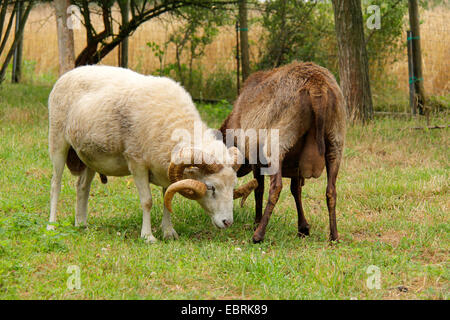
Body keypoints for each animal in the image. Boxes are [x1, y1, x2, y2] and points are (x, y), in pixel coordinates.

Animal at [48, 67, 256, 242]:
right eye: (211, 187)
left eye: (233, 186)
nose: (227, 222)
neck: (173, 122)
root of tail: (69, 73)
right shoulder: (137, 163)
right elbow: (147, 202)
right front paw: (148, 237)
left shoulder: (166, 168)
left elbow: (167, 197)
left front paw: (169, 232)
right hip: (58, 141)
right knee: (56, 184)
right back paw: (52, 225)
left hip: (88, 156)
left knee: (82, 187)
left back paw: (81, 224)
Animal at [220, 61, 346, 242]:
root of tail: (316, 86)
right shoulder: (296, 165)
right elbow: (296, 191)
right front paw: (303, 228)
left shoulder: (255, 158)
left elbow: (259, 189)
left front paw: (256, 222)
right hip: (336, 141)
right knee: (331, 190)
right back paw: (334, 236)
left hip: (278, 143)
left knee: (275, 187)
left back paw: (258, 234)